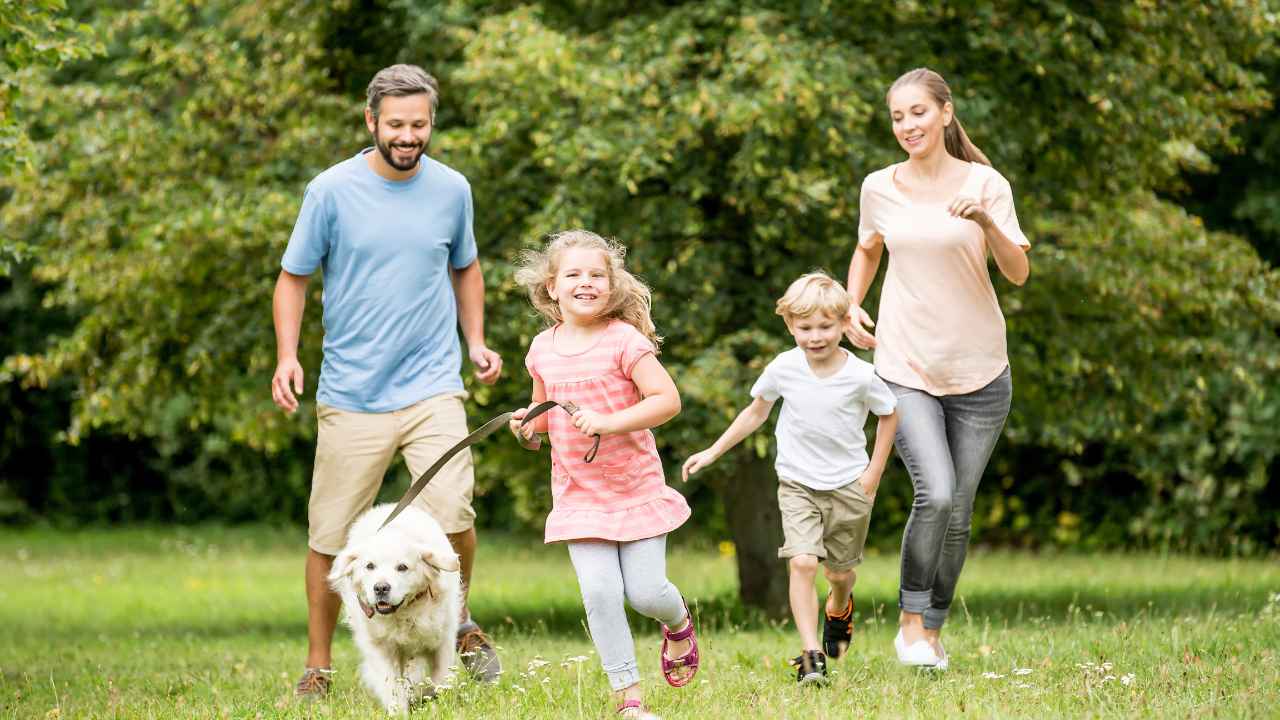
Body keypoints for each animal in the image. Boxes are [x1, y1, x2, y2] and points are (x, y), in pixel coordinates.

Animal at [327, 502, 463, 707]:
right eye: (370, 566)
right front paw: (399, 708)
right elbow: (391, 685)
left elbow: (440, 678)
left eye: (402, 567)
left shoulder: (443, 640)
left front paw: (434, 700)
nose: (381, 588)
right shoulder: (380, 647)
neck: (403, 614)